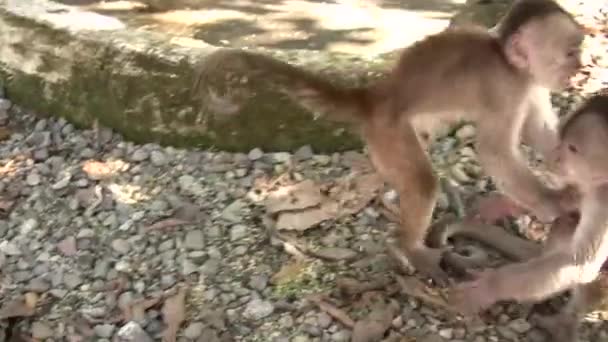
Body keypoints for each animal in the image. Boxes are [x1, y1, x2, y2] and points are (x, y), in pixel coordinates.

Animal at [446, 91, 608, 320]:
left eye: (572, 148)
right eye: (562, 141)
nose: (554, 156)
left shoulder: (604, 199)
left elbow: (578, 263)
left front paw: (491, 287)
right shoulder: (591, 186)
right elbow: (566, 201)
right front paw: (506, 205)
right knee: (565, 223)